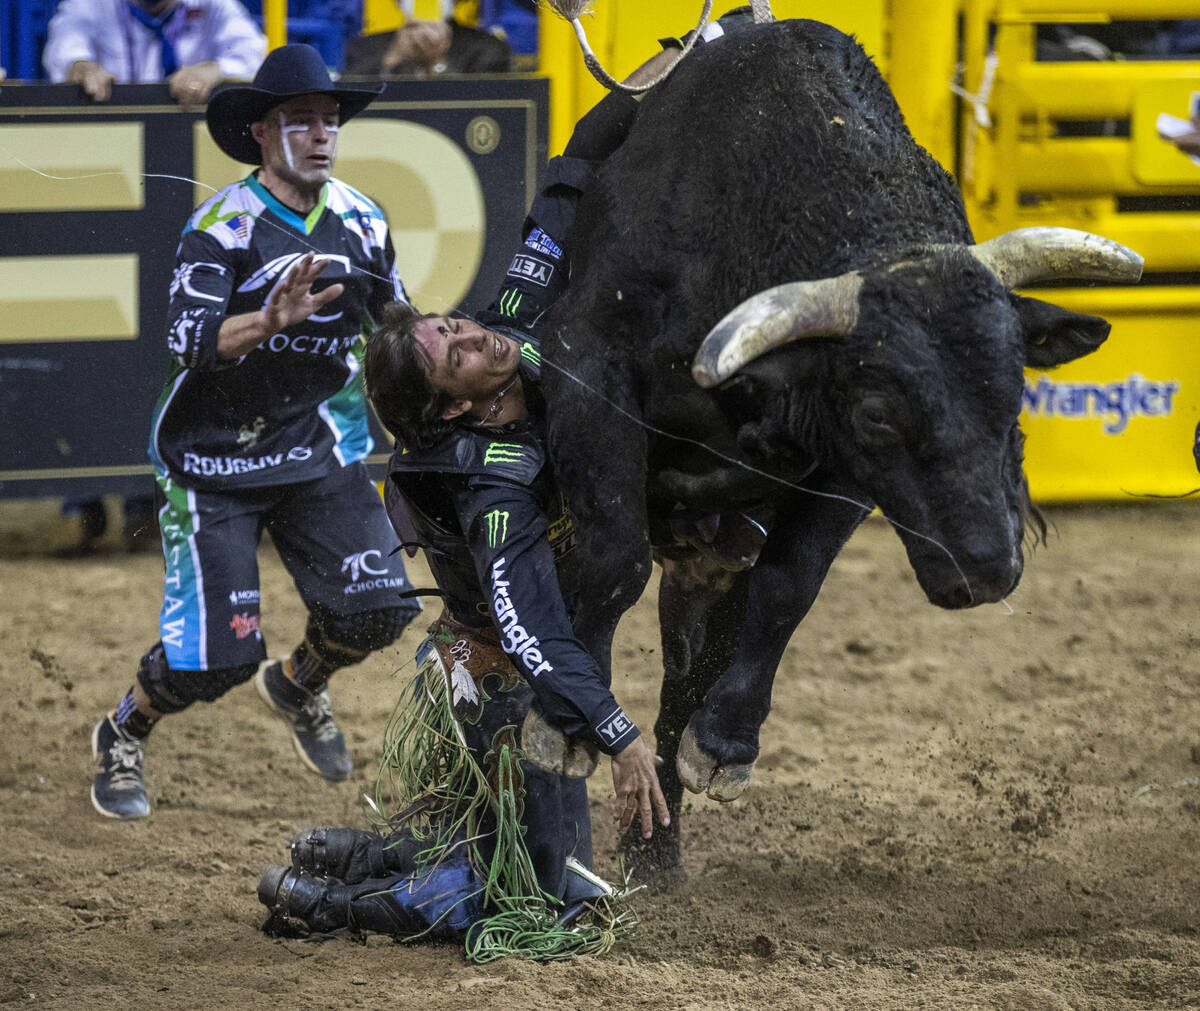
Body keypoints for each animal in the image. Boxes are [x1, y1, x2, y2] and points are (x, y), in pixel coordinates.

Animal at [537, 17, 1142, 874]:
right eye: (881, 413)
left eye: (1015, 386)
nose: (990, 567)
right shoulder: (587, 368)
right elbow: (611, 557)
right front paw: (565, 726)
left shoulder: (839, 471)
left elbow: (789, 584)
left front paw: (725, 746)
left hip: (707, 561)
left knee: (686, 670)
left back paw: (657, 855)